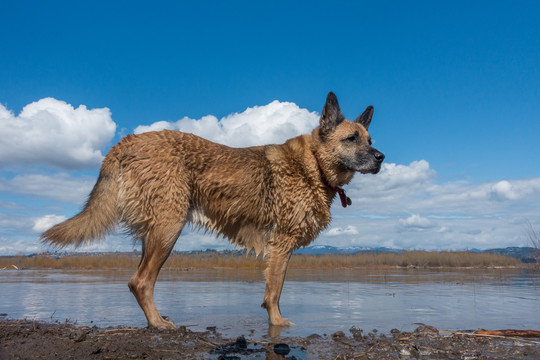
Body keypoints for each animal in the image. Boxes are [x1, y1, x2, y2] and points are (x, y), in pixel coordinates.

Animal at [42, 93, 386, 330]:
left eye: (370, 139)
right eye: (351, 139)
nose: (381, 157)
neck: (313, 164)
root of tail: (124, 142)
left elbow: (272, 290)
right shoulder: (282, 244)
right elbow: (275, 290)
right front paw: (277, 323)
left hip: (154, 233)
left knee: (137, 280)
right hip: (168, 229)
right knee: (140, 281)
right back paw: (158, 324)